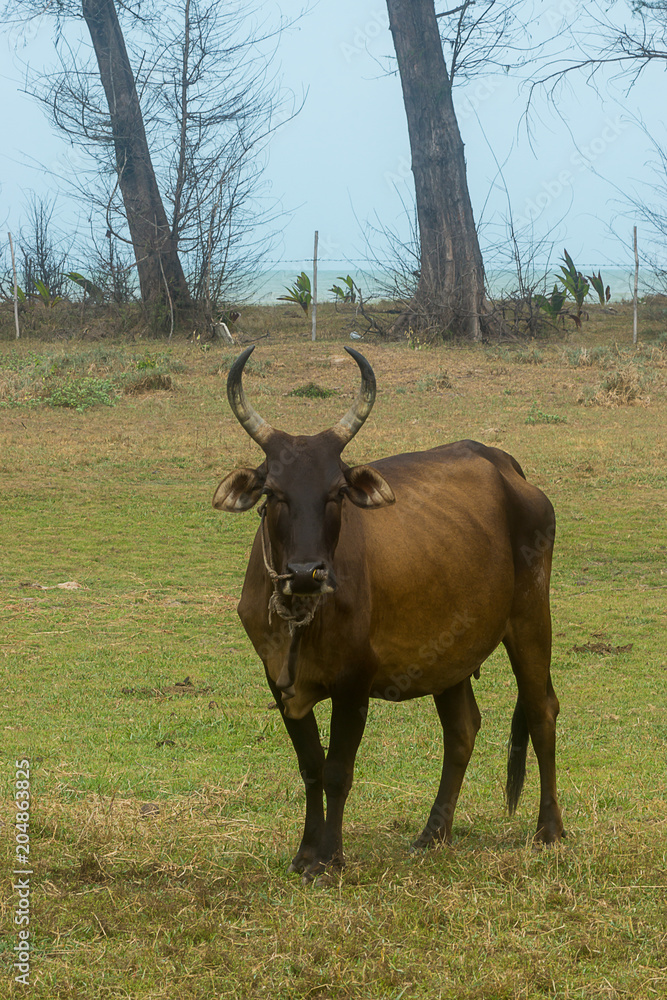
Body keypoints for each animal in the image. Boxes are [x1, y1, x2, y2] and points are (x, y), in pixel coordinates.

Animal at [214, 346, 563, 882]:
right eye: (273, 492)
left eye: (336, 492)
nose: (306, 571)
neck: (302, 617)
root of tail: (506, 466)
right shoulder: (276, 679)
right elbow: (310, 765)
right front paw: (306, 853)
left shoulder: (355, 681)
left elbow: (337, 770)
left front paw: (331, 857)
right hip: (450, 652)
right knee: (462, 731)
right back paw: (433, 833)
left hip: (530, 618)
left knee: (542, 708)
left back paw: (549, 830)